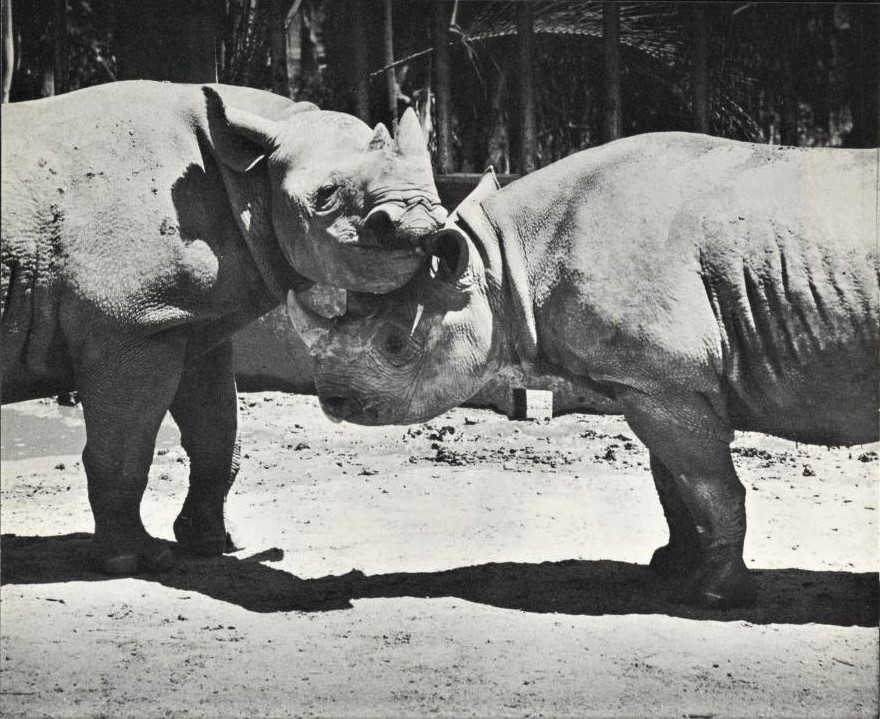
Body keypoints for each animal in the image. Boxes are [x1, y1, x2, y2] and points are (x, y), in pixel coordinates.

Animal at [1, 80, 445, 574]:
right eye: (326, 194)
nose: (420, 222)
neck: (251, 175)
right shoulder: (133, 325)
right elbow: (125, 449)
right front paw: (133, 560)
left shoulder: (191, 320)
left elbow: (217, 436)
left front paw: (214, 543)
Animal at [288, 133, 879, 609]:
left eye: (394, 344)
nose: (332, 401)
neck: (505, 263)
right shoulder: (656, 380)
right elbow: (673, 481)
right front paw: (670, 568)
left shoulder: (665, 381)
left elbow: (707, 484)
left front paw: (713, 597)